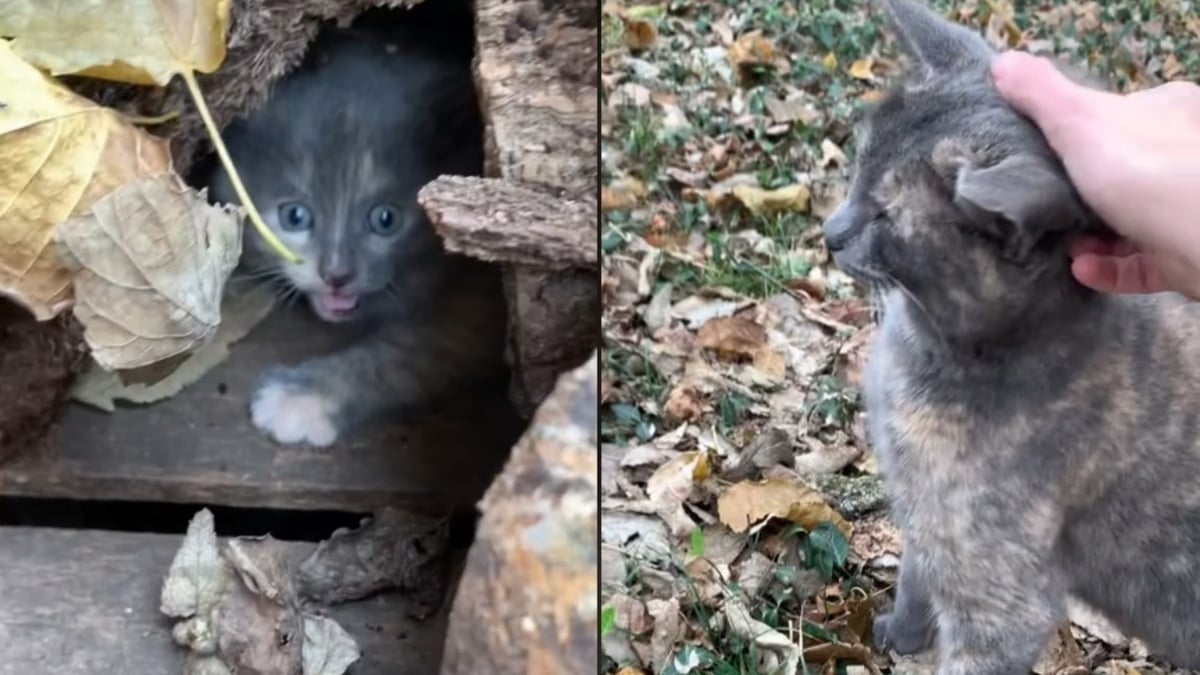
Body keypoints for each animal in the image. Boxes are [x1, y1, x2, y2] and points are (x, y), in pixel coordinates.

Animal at [830, 2, 1200, 667]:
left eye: (886, 216)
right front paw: (897, 637)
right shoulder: (926, 523)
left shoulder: (998, 598)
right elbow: (914, 580)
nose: (829, 232)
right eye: (858, 163)